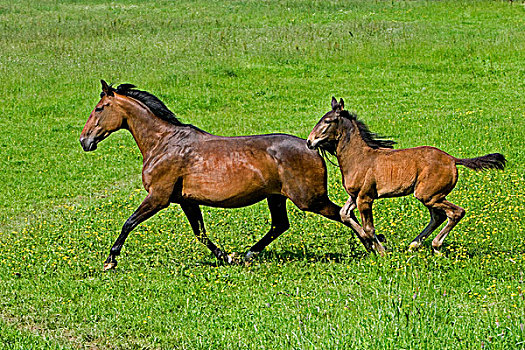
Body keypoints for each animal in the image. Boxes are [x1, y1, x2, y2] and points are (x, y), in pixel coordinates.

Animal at [80, 82, 362, 270]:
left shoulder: (158, 197)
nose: (84, 141)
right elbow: (200, 233)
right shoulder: (186, 201)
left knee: (342, 214)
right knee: (280, 225)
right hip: (277, 197)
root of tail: (312, 146)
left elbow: (129, 223)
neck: (163, 143)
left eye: (100, 108)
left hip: (309, 199)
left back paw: (369, 243)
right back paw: (248, 254)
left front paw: (110, 260)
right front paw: (226, 256)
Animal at [304, 96, 506, 254]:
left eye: (328, 121)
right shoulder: (355, 196)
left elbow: (369, 228)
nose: (309, 141)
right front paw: (370, 242)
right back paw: (414, 245)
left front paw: (382, 251)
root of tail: (452, 159)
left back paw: (435, 246)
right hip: (432, 196)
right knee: (438, 216)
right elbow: (344, 215)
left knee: (455, 212)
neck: (359, 157)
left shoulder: (365, 198)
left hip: (428, 195)